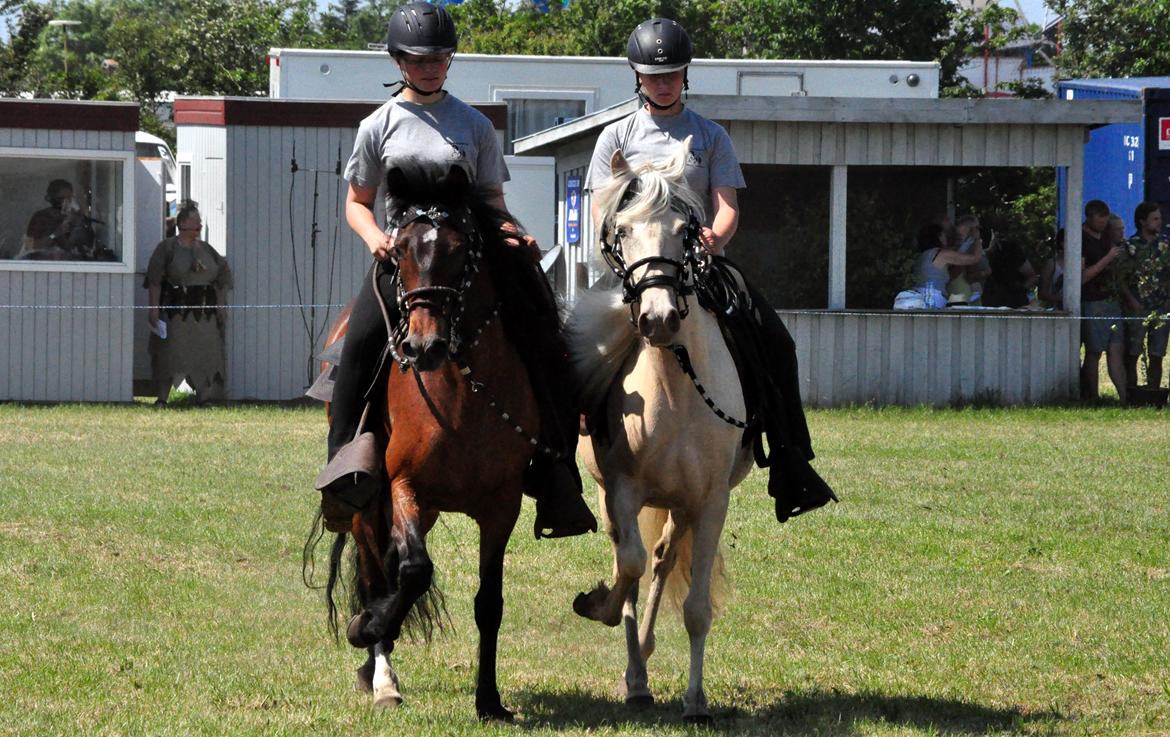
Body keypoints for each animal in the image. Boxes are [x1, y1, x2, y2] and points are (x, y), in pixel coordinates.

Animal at [315, 164, 542, 725]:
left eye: (461, 250)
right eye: (399, 251)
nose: (423, 345)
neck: (458, 393)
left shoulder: (501, 506)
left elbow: (489, 603)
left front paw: (489, 700)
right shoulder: (403, 486)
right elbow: (413, 571)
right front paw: (369, 630)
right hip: (366, 503)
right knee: (376, 571)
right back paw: (380, 673)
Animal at [563, 139, 748, 729]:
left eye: (686, 229)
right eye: (622, 230)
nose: (659, 318)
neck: (673, 389)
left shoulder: (710, 502)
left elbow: (695, 608)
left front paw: (696, 700)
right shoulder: (622, 491)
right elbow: (628, 565)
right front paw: (599, 611)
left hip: (683, 504)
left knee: (665, 558)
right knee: (635, 558)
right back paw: (637, 675)